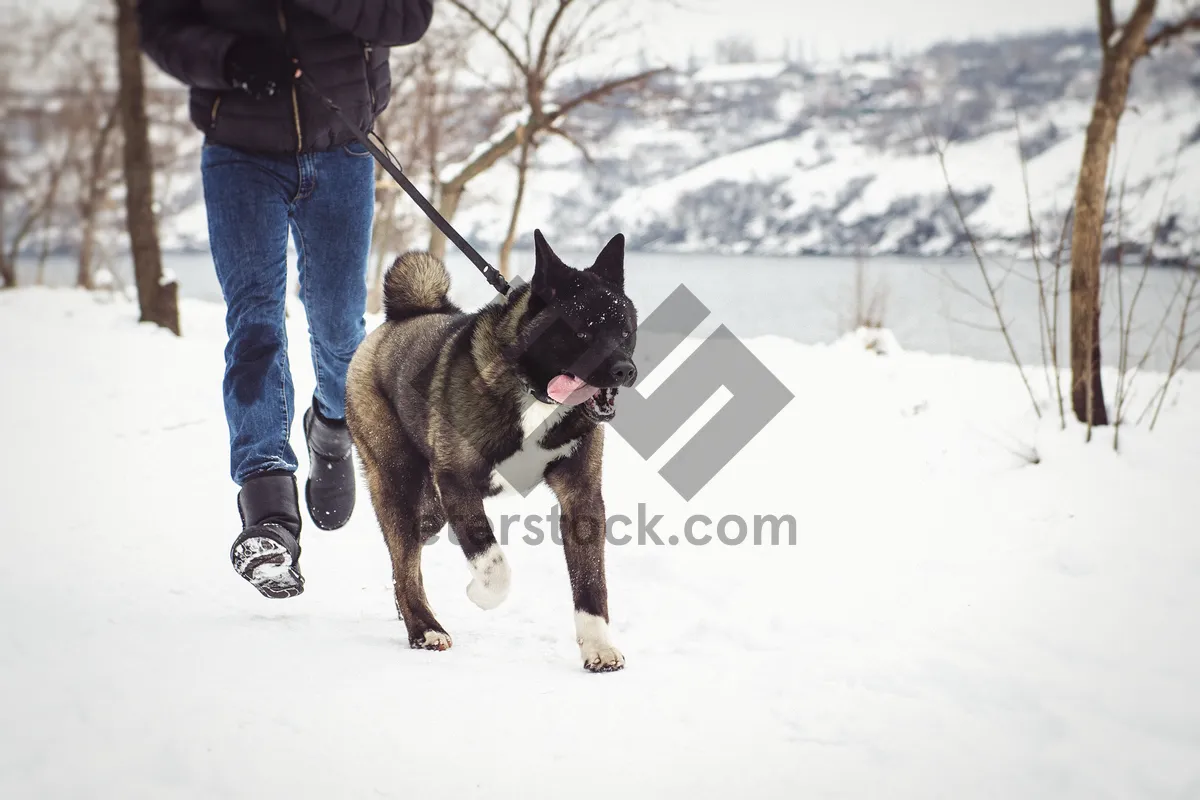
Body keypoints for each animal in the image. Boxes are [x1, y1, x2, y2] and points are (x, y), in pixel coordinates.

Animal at [345, 230, 638, 671]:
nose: (625, 370)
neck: (535, 396)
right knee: (405, 561)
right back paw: (424, 628)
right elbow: (493, 563)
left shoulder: (582, 497)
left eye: (624, 331)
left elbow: (591, 582)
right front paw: (479, 594)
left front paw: (598, 646)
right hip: (398, 481)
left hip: (429, 507)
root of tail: (402, 318)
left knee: (408, 555)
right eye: (582, 332)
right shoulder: (458, 482)